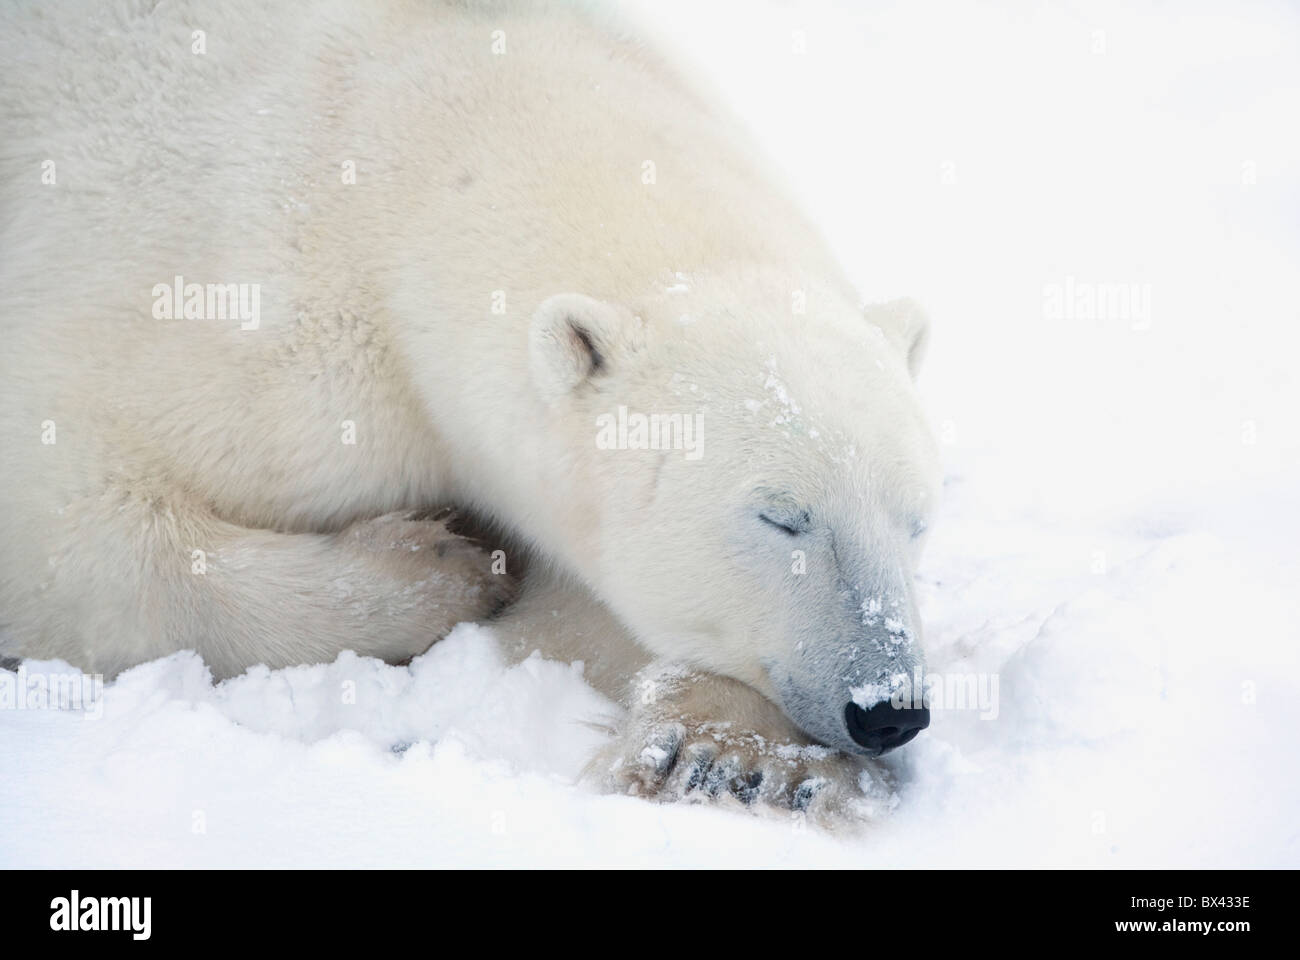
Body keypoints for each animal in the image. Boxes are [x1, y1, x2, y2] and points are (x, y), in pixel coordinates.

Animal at [0, 0, 935, 816]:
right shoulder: (240, 312)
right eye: (781, 516)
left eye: (917, 520)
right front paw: (442, 563)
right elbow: (68, 520)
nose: (890, 708)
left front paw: (740, 756)